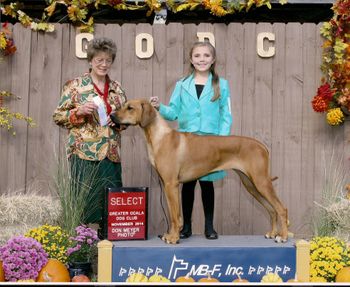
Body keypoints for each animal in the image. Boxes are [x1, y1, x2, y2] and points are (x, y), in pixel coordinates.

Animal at [110, 99, 288, 245]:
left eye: (130, 108)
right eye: (123, 105)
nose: (111, 115)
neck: (159, 137)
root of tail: (261, 145)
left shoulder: (171, 184)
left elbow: (175, 216)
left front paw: (173, 238)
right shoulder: (167, 185)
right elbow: (173, 214)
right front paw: (170, 235)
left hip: (261, 182)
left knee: (281, 208)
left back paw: (283, 236)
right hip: (251, 185)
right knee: (272, 209)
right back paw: (272, 233)